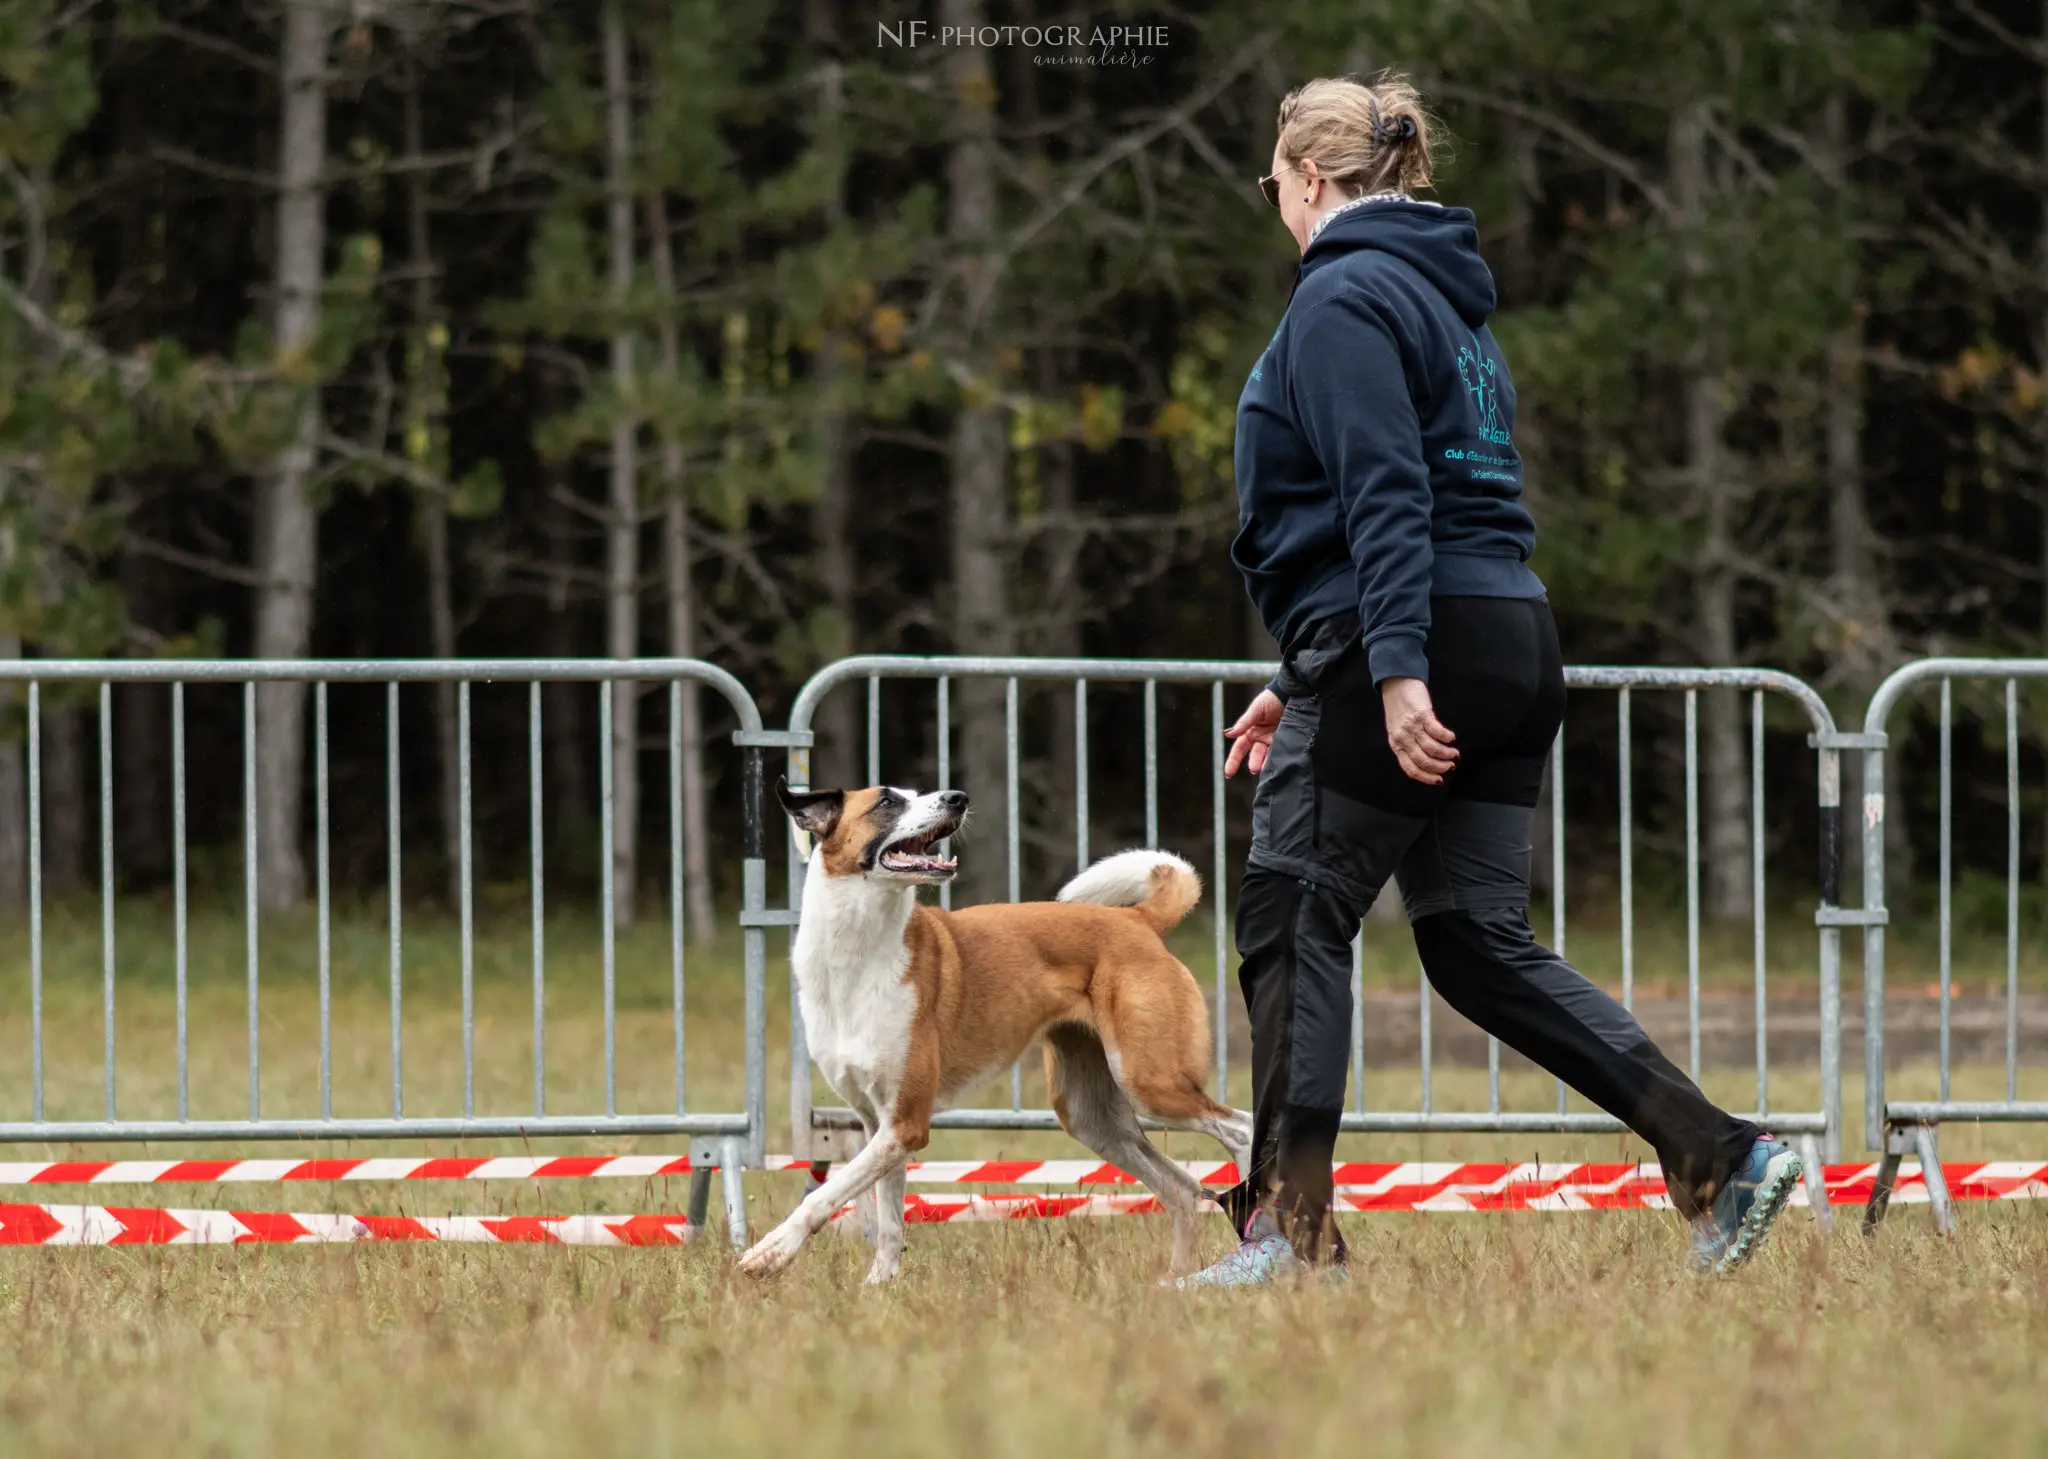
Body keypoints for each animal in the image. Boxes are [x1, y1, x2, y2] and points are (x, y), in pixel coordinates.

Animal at [737, 782, 1245, 1278]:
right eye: (887, 800)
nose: (957, 798)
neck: (859, 953)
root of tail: (1136, 920)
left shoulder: (906, 1125)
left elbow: (825, 1195)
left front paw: (770, 1251)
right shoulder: (880, 1124)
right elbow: (888, 1221)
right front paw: (880, 1286)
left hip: (1149, 1082)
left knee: (1238, 1128)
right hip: (1092, 1115)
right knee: (1182, 1189)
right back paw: (1174, 1281)